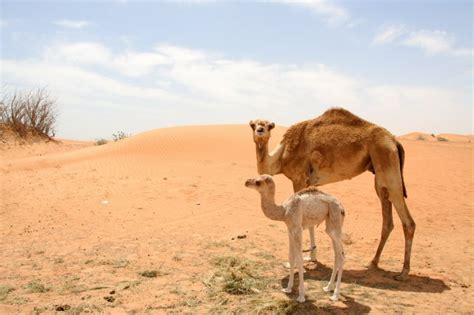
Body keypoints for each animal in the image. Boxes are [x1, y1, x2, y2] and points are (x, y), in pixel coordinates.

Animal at [244, 175, 344, 304]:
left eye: (258, 182)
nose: (246, 182)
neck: (284, 212)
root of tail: (342, 207)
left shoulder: (297, 229)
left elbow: (299, 259)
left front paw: (301, 296)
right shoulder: (290, 230)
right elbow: (291, 257)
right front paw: (288, 288)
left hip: (335, 219)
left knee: (341, 257)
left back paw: (335, 295)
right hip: (330, 226)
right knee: (337, 255)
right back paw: (328, 287)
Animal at [250, 108, 416, 282]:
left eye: (269, 125)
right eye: (253, 124)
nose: (260, 130)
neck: (282, 155)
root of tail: (394, 140)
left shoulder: (298, 178)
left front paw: (295, 262)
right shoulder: (310, 183)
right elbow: (310, 223)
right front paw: (312, 257)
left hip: (387, 161)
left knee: (407, 220)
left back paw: (403, 272)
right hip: (379, 175)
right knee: (387, 218)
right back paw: (373, 262)